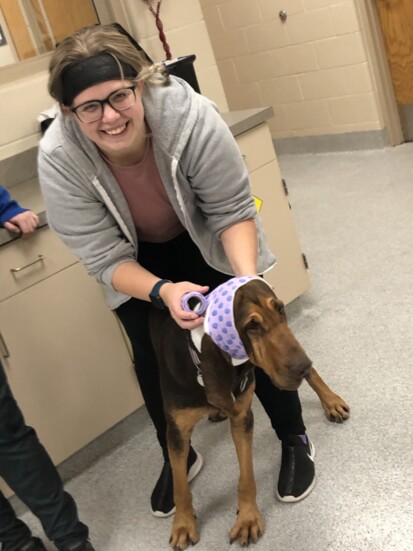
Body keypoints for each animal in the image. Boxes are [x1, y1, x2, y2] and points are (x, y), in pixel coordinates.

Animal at [148, 278, 348, 548]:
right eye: (252, 325)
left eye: (280, 309)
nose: (302, 366)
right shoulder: (176, 431)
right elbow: (180, 486)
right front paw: (183, 524)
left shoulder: (242, 418)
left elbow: (246, 476)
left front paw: (248, 519)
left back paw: (331, 401)